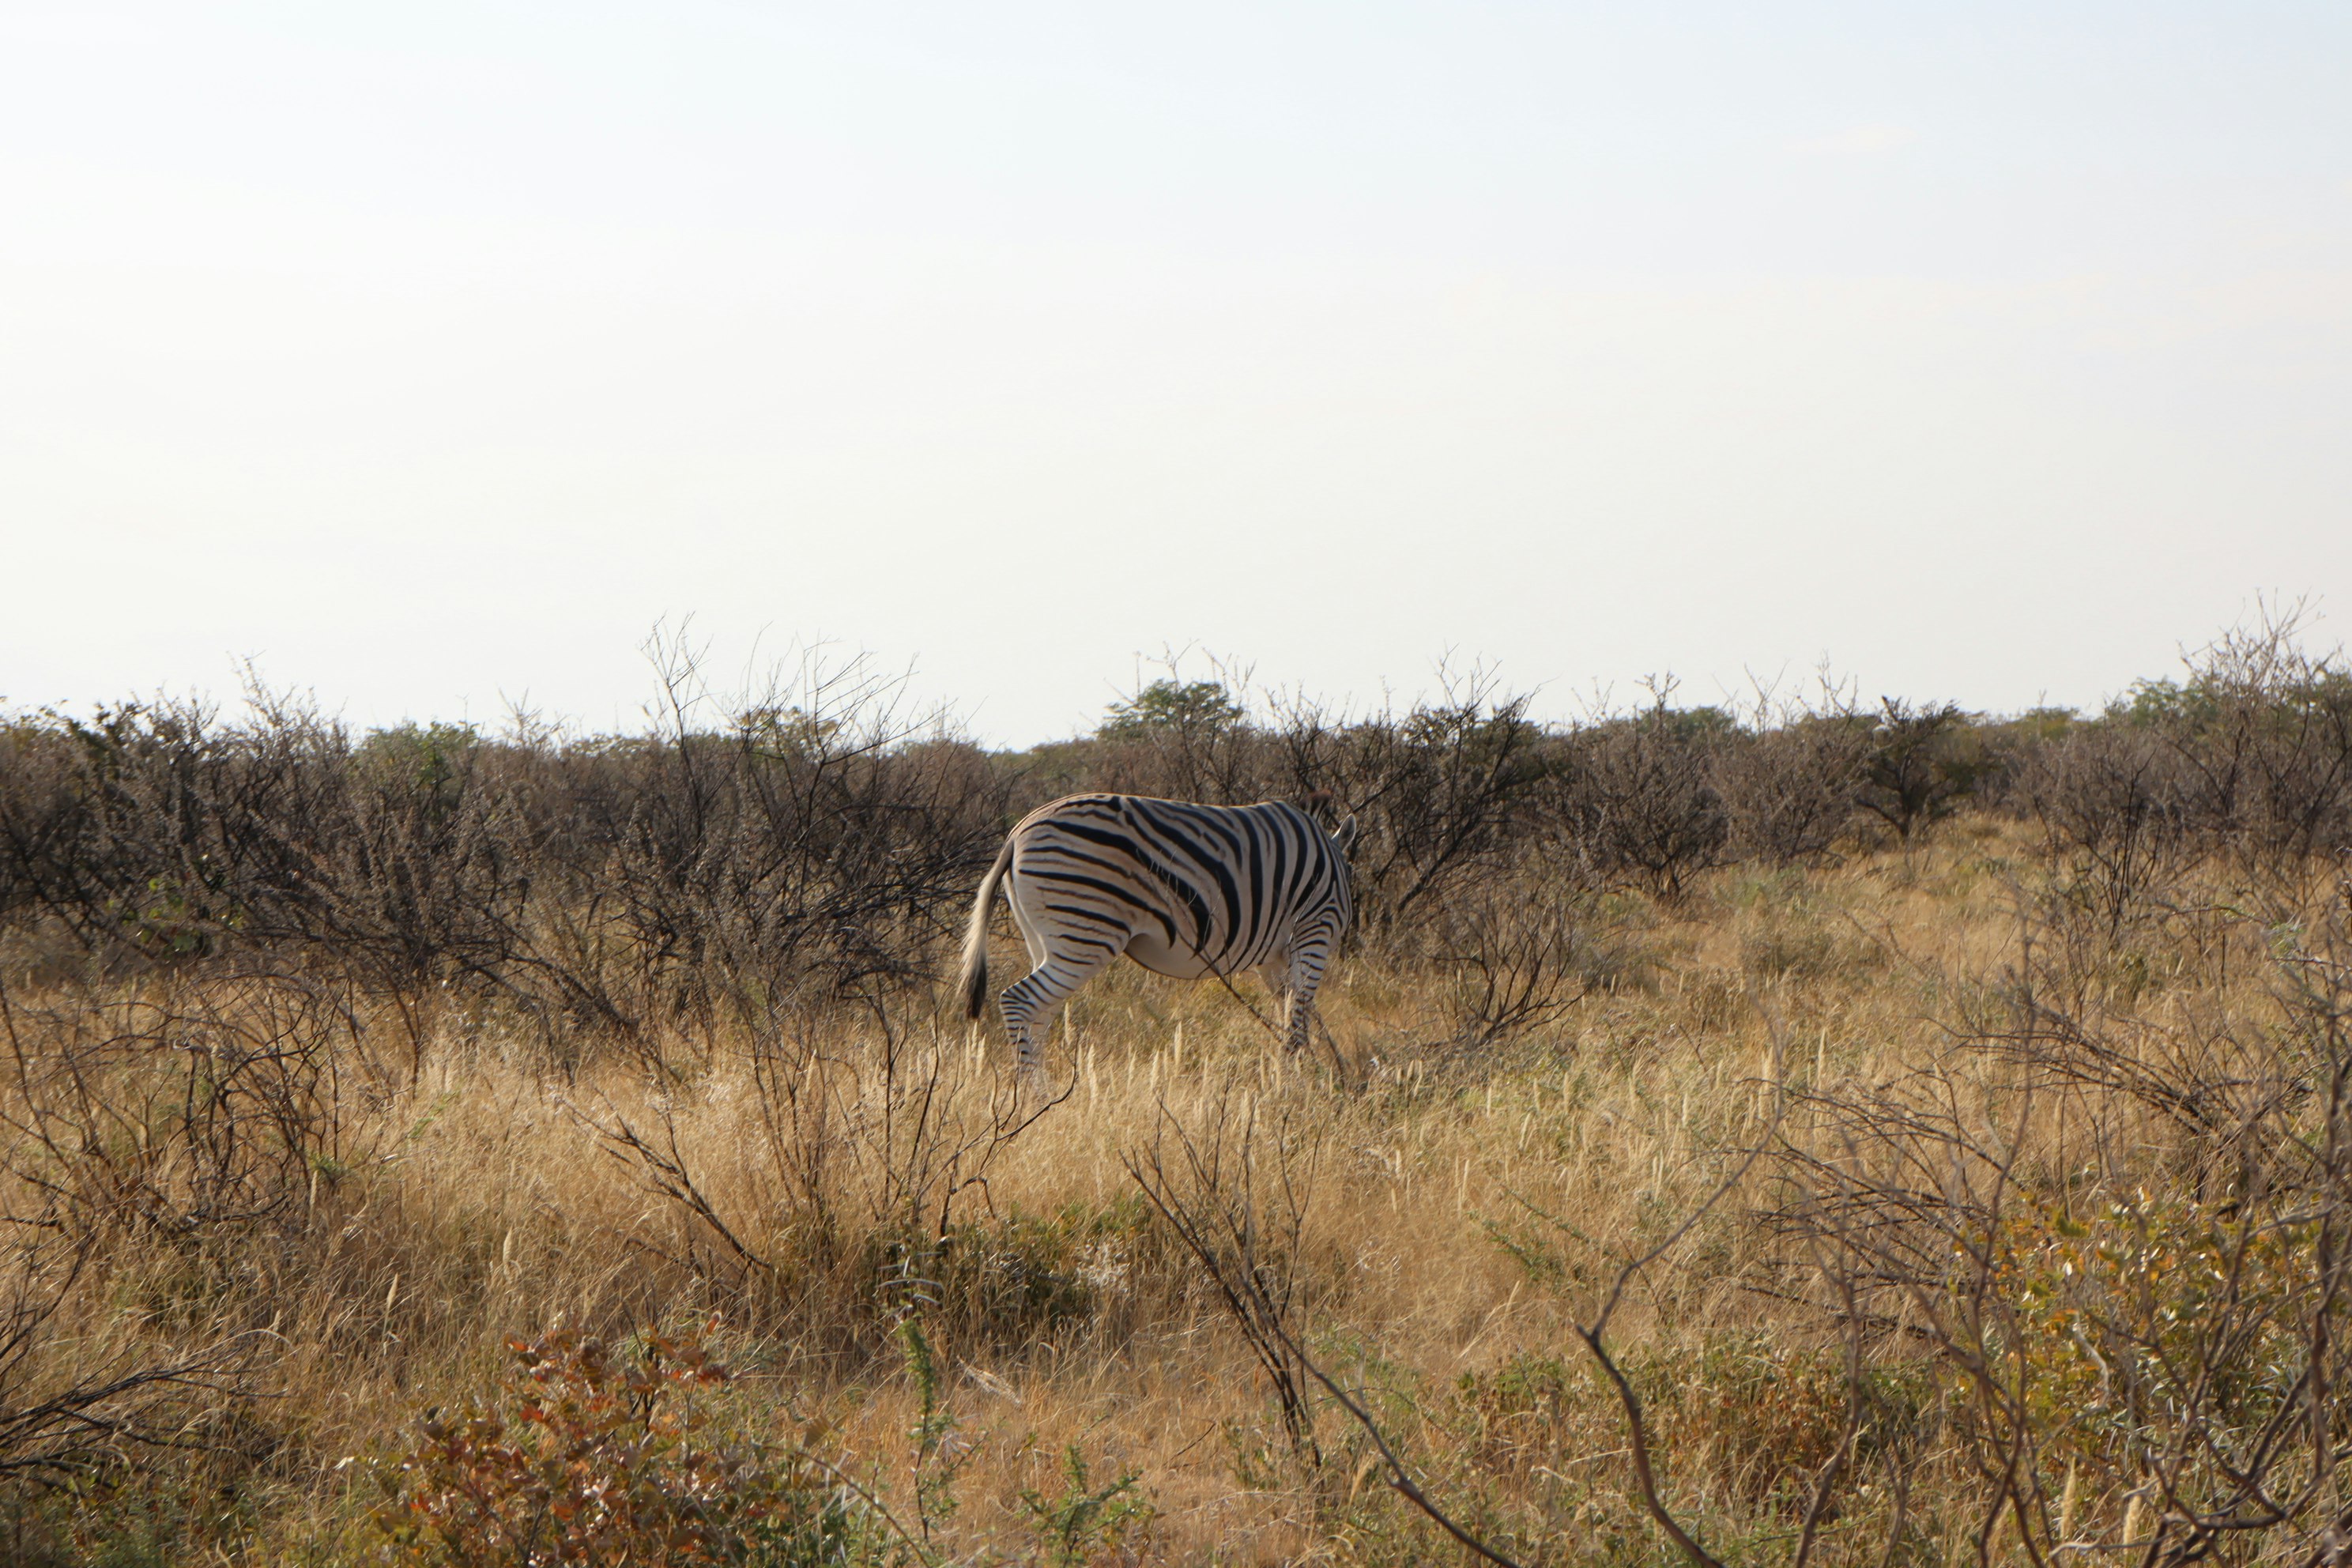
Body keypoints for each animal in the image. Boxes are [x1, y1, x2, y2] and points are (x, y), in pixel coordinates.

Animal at [956, 794, 1358, 1072]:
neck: (1333, 856)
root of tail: (1017, 834)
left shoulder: (1274, 957)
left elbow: (1289, 1010)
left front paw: (1296, 1070)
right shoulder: (1315, 930)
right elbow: (1299, 1014)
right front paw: (1298, 1079)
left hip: (1043, 939)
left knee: (1038, 1016)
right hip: (1086, 934)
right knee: (1019, 1001)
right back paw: (1033, 1101)